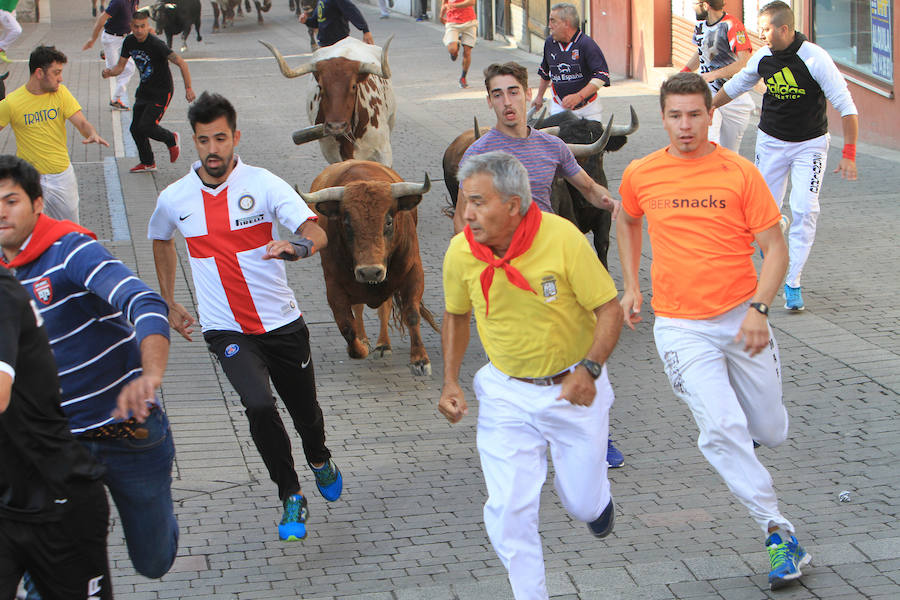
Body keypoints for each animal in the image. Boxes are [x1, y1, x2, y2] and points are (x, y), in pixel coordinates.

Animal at [298, 159, 436, 376]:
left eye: (388, 221)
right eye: (346, 223)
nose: (370, 271)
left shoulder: (413, 272)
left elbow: (411, 314)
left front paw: (420, 360)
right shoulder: (334, 284)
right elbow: (346, 325)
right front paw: (360, 347)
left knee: (384, 308)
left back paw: (383, 344)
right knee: (359, 309)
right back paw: (365, 339)